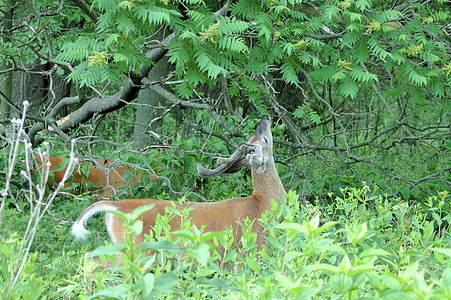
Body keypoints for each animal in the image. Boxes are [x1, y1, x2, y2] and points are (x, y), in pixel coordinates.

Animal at [71, 116, 286, 268]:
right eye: (265, 139)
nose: (265, 117)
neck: (262, 203)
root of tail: (116, 206)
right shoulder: (248, 252)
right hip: (138, 248)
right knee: (93, 260)